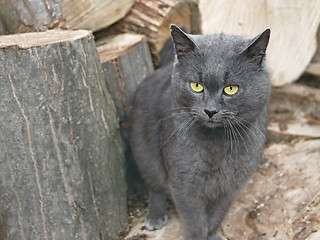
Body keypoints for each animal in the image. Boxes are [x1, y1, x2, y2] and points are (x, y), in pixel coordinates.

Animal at [129, 24, 270, 240]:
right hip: (144, 152)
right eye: (196, 86)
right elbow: (195, 222)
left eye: (231, 89)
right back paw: (155, 216)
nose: (210, 110)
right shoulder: (184, 182)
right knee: (155, 185)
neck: (217, 143)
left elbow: (215, 218)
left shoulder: (231, 185)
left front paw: (212, 236)